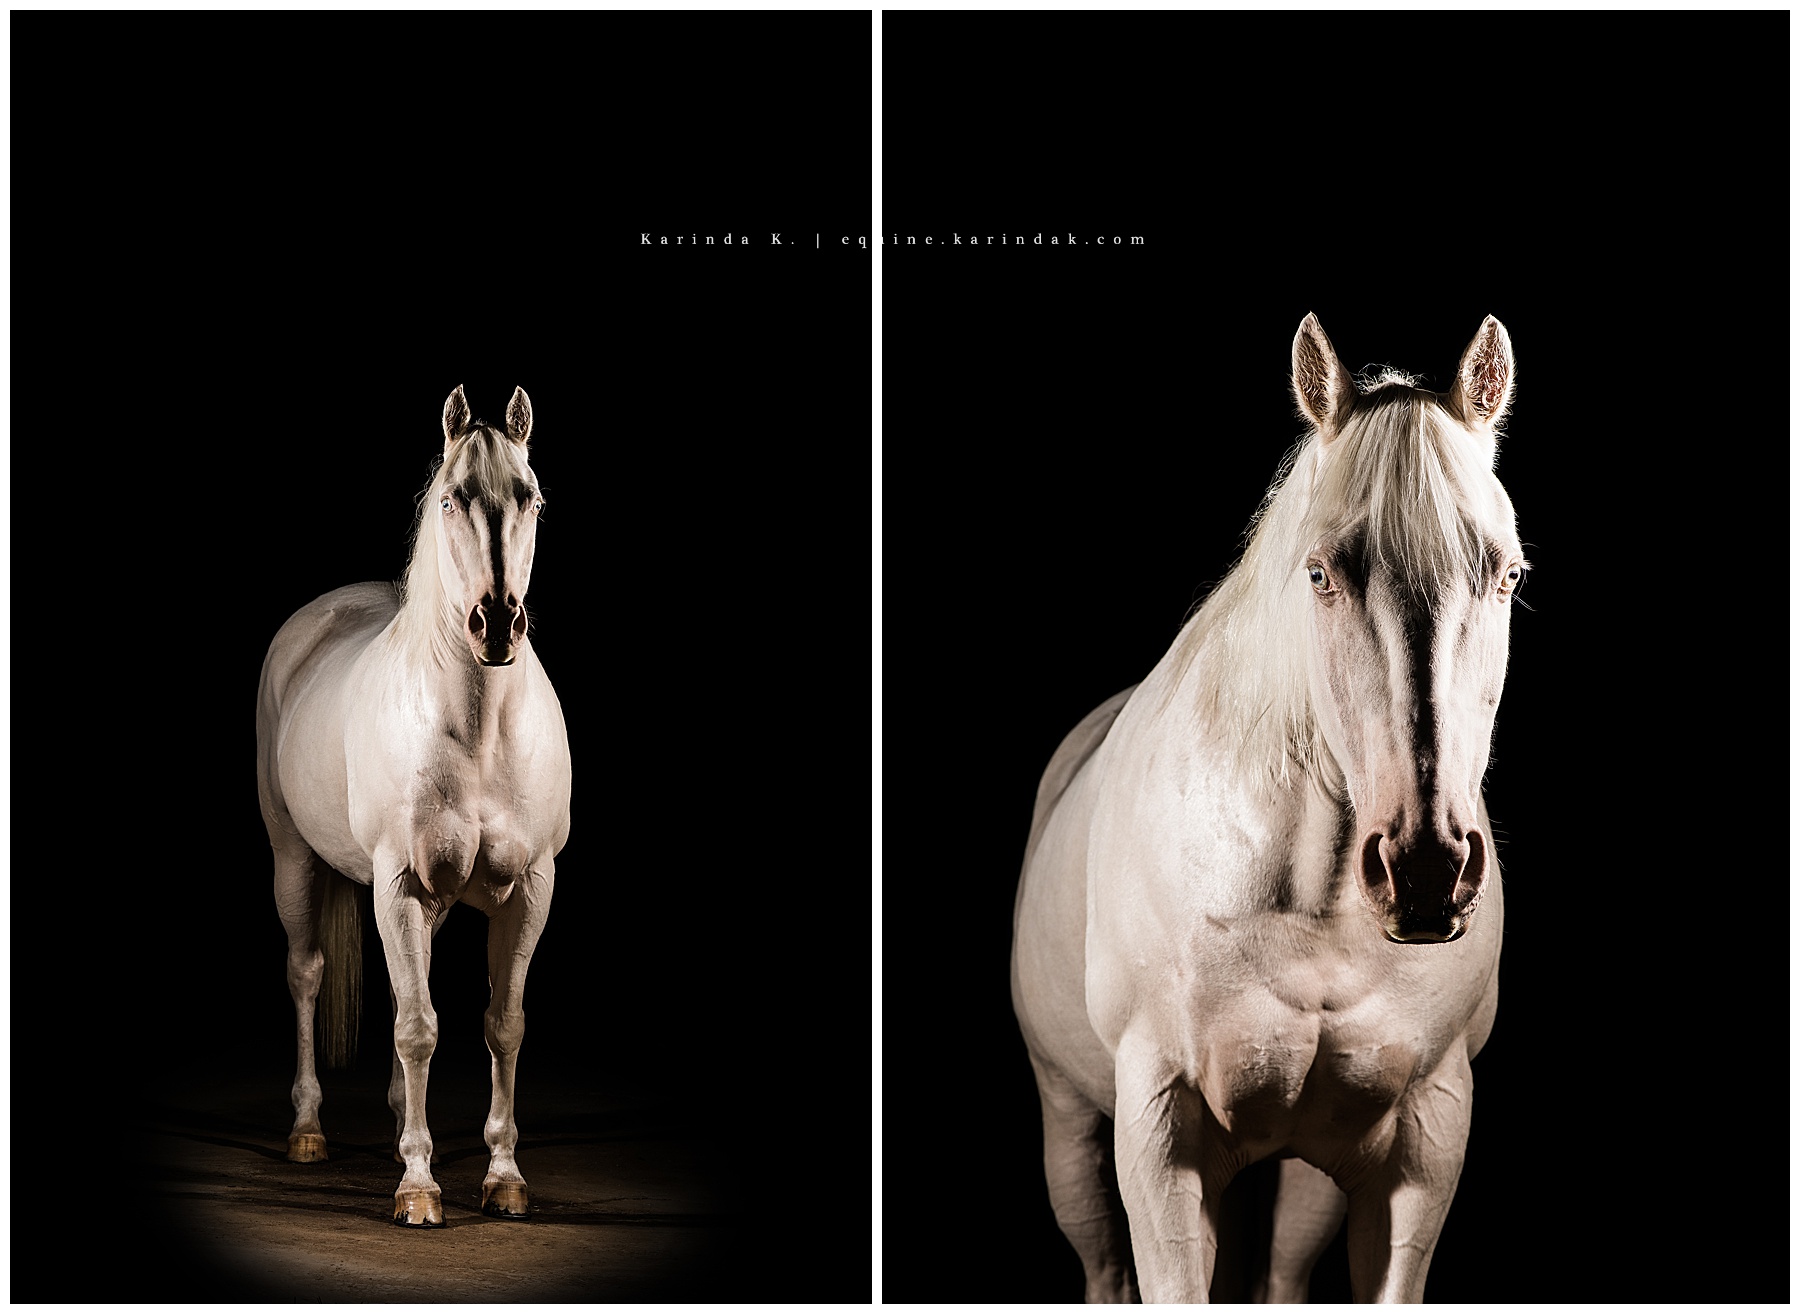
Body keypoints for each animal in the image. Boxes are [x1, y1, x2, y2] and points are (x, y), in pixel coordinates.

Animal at [256, 384, 572, 1227]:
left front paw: (503, 1177)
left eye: (529, 498)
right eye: (452, 497)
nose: (495, 622)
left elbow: (503, 1025)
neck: (478, 732)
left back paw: (402, 1116)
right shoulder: (398, 884)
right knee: (307, 975)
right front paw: (419, 1187)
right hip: (295, 862)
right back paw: (307, 1131)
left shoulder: (530, 888)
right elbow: (417, 1026)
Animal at [1011, 315, 1524, 1302]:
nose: (1426, 871)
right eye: (1320, 573)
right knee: (1101, 1265)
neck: (1315, 911)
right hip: (1070, 1130)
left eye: (1509, 575)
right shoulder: (1159, 1139)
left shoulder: (1425, 1144)